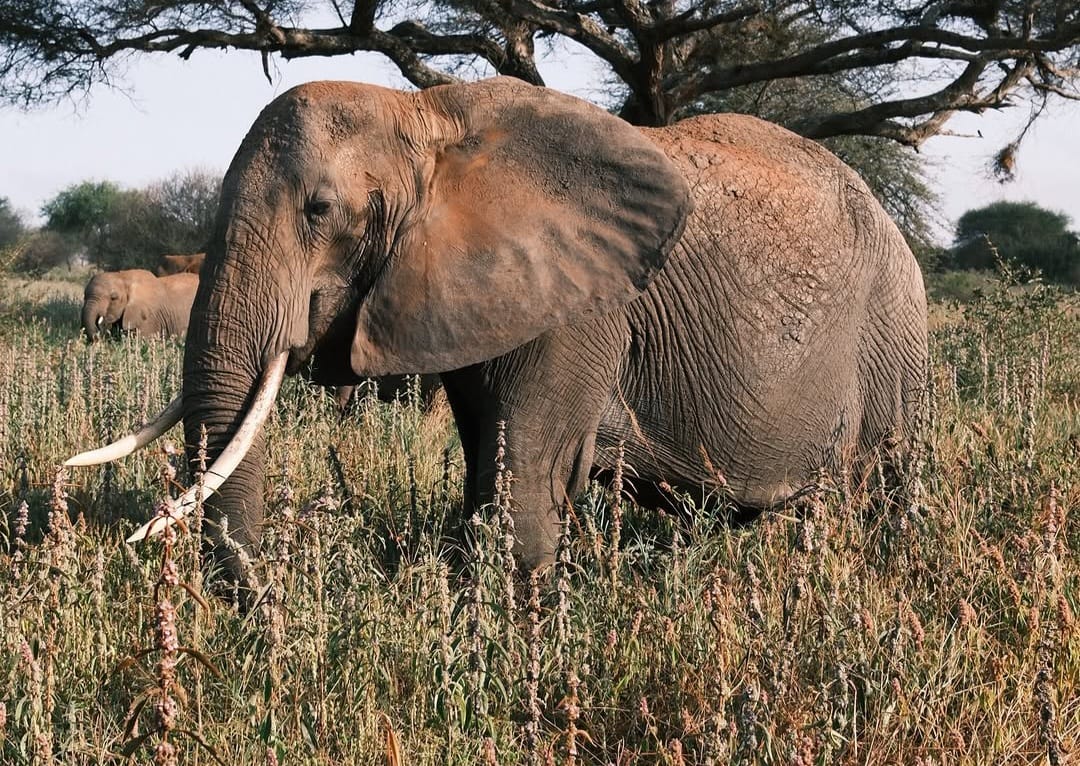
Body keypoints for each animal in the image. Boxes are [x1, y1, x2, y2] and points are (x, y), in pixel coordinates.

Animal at [68, 77, 927, 583]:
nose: (256, 603)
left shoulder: (579, 304)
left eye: (320, 209)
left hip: (894, 324)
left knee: (887, 484)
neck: (425, 115)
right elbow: (488, 456)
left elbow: (522, 485)